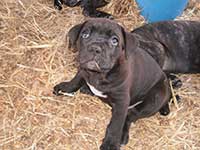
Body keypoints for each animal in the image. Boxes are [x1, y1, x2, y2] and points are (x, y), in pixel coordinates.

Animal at [53, 18, 173, 149]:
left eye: (114, 40)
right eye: (85, 34)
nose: (95, 48)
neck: (99, 74)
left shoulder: (121, 102)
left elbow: (115, 125)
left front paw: (110, 143)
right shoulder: (83, 68)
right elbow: (76, 79)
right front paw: (65, 88)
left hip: (154, 99)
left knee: (130, 115)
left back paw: (123, 135)